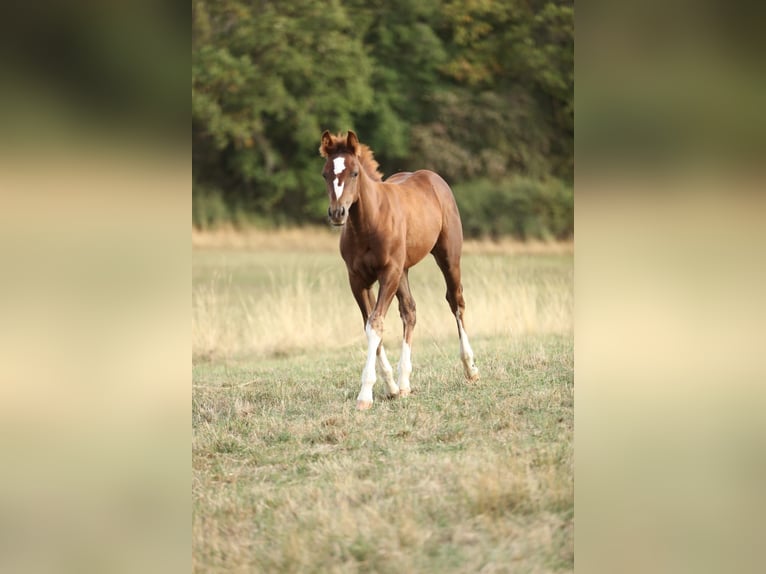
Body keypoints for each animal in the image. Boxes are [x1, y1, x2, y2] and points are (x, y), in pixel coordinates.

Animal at [319, 130, 479, 410]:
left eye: (354, 173)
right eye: (325, 173)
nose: (338, 213)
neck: (369, 224)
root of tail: (433, 178)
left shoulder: (388, 273)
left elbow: (375, 324)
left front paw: (365, 395)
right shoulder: (357, 280)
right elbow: (370, 324)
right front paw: (390, 387)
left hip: (448, 257)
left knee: (455, 301)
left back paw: (470, 368)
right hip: (403, 271)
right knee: (410, 311)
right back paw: (404, 383)